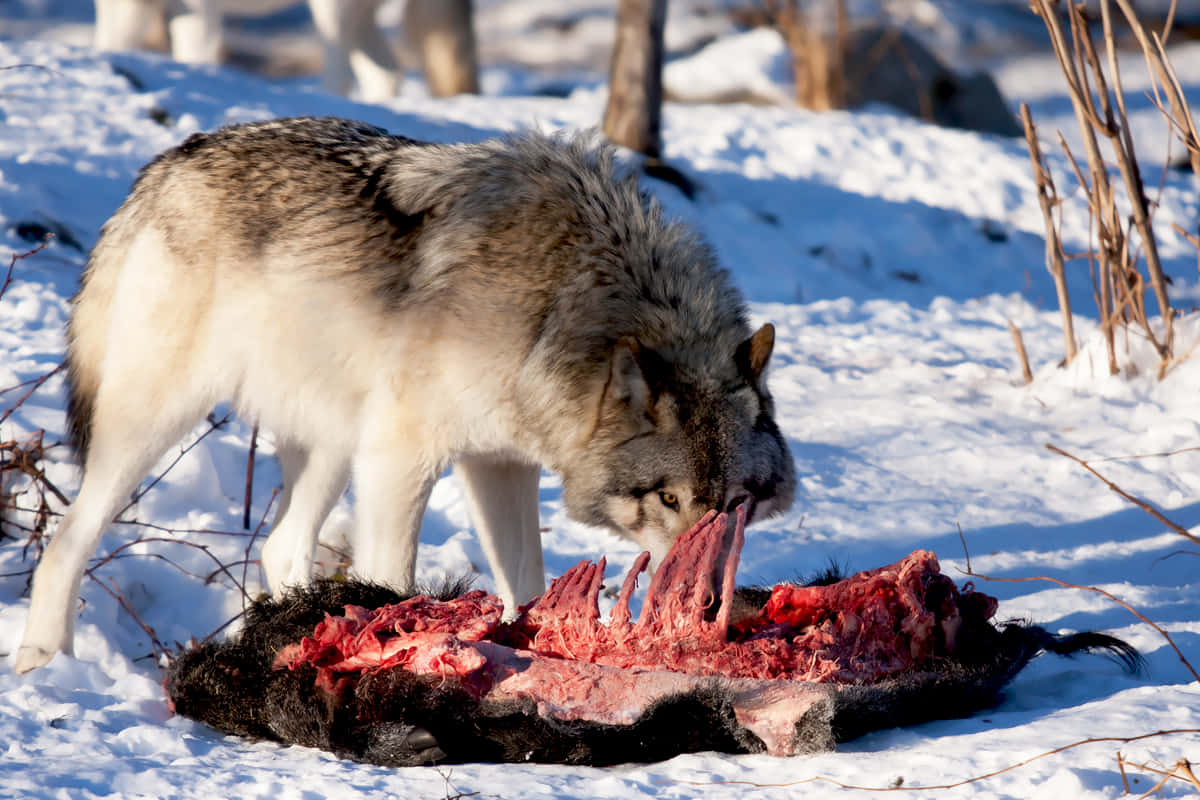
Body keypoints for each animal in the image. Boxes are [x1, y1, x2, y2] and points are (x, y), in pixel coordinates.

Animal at [14, 117, 796, 673]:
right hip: (156, 425)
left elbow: (527, 581)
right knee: (67, 537)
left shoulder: (500, 462)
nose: (707, 603)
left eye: (735, 506)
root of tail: (163, 167)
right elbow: (392, 580)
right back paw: (44, 663)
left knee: (280, 549)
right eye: (668, 499)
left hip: (331, 444)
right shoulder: (403, 454)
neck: (560, 303)